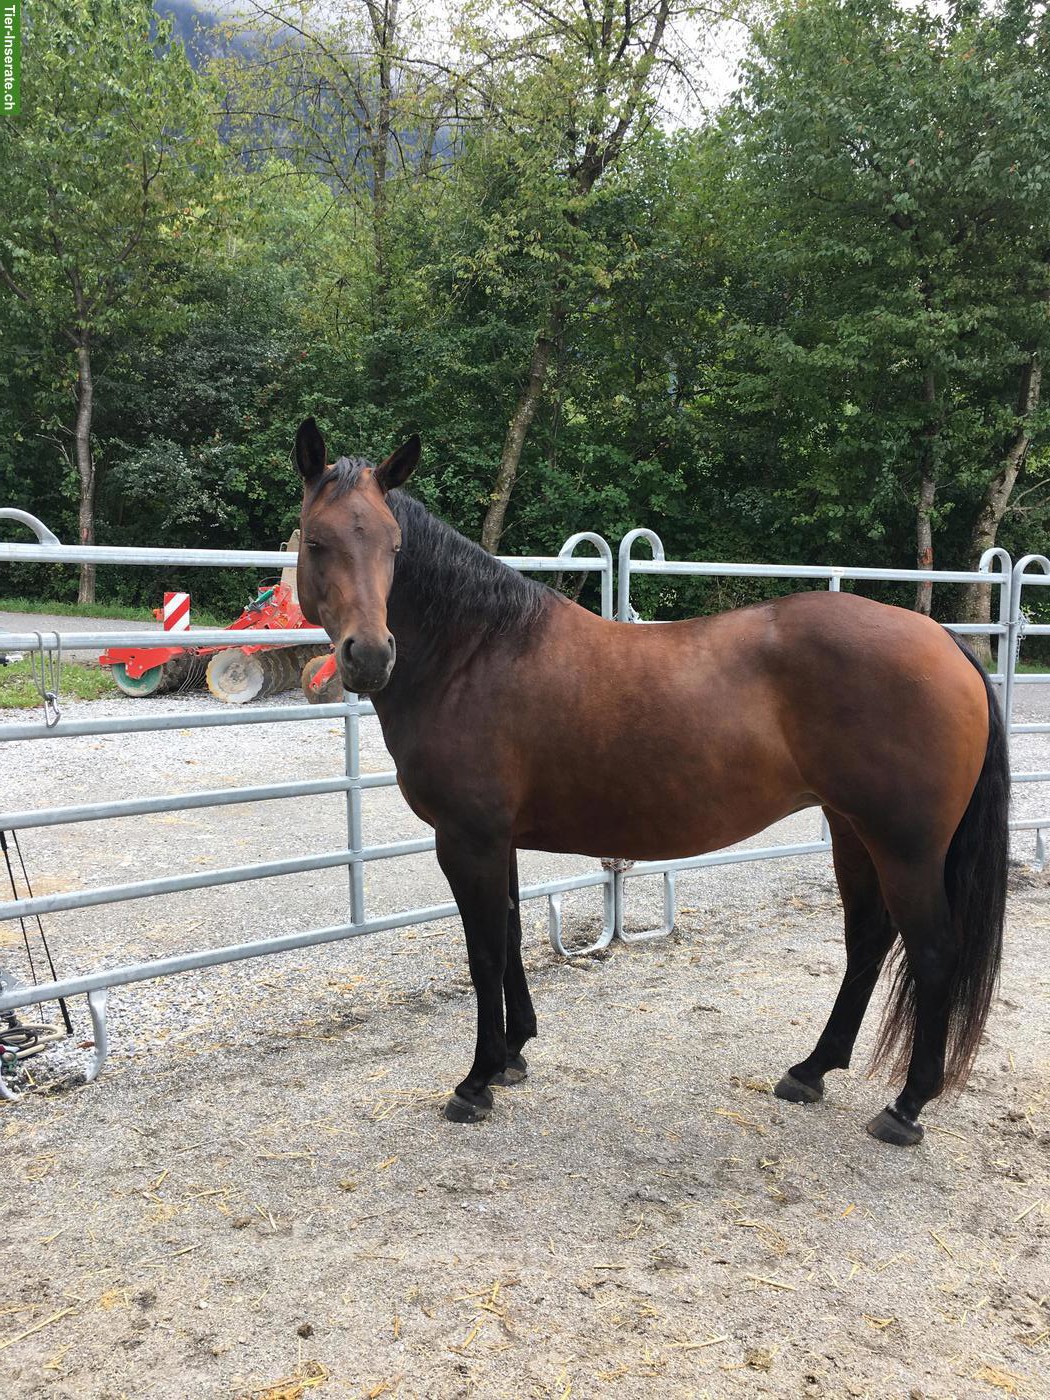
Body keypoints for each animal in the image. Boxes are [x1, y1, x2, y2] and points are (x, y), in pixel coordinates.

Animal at [292, 418, 1009, 1147]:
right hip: (852, 830)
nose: (370, 655)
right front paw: (515, 1055)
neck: (475, 653)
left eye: (393, 547)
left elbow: (484, 953)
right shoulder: (497, 840)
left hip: (905, 847)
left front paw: (477, 1081)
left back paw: (906, 1107)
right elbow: (512, 937)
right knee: (867, 937)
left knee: (932, 952)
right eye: (317, 541)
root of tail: (946, 643)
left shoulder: (468, 840)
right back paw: (811, 1071)